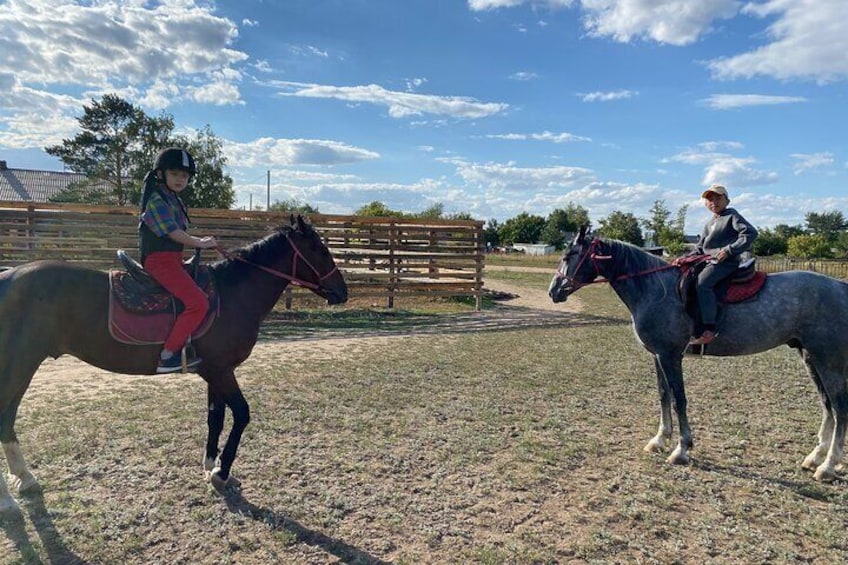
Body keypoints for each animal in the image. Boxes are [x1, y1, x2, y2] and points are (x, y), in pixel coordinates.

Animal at [0, 213, 348, 512]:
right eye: (319, 249)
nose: (342, 291)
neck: (231, 295)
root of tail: (8, 277)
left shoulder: (214, 372)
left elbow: (215, 417)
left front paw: (210, 467)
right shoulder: (222, 371)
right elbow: (241, 414)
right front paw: (221, 473)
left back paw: (25, 479)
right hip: (20, 365)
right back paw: (8, 499)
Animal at [548, 225, 848, 480]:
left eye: (570, 255)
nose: (554, 291)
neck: (655, 288)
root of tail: (840, 286)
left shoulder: (670, 356)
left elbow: (679, 399)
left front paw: (681, 449)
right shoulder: (658, 356)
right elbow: (663, 396)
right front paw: (660, 440)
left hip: (828, 362)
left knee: (840, 407)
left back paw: (828, 466)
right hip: (810, 358)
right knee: (827, 405)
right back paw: (815, 457)